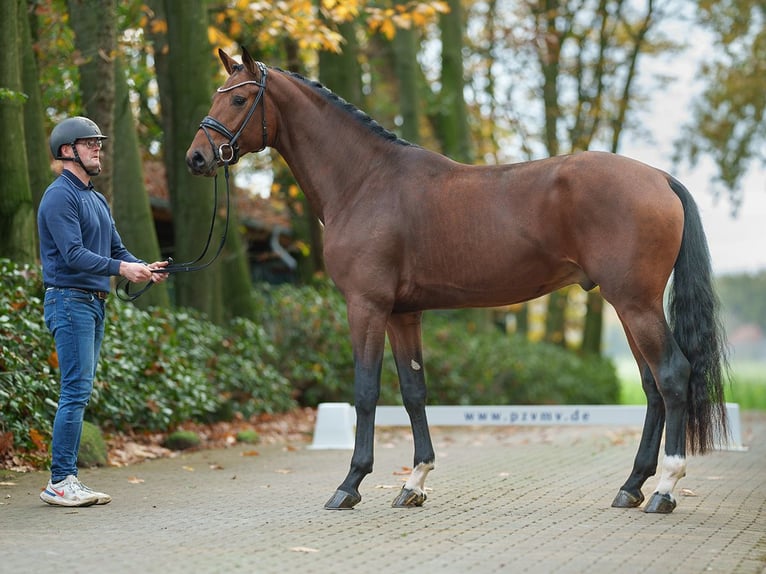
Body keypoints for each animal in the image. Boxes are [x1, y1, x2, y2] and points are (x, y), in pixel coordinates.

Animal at [188, 49, 732, 516]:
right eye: (217, 94)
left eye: (238, 99)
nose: (197, 158)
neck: (364, 180)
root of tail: (659, 177)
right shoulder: (403, 312)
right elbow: (414, 391)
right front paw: (414, 483)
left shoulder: (365, 305)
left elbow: (366, 390)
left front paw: (350, 485)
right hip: (627, 306)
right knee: (652, 387)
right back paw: (632, 486)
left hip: (635, 303)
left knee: (672, 376)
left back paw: (664, 489)